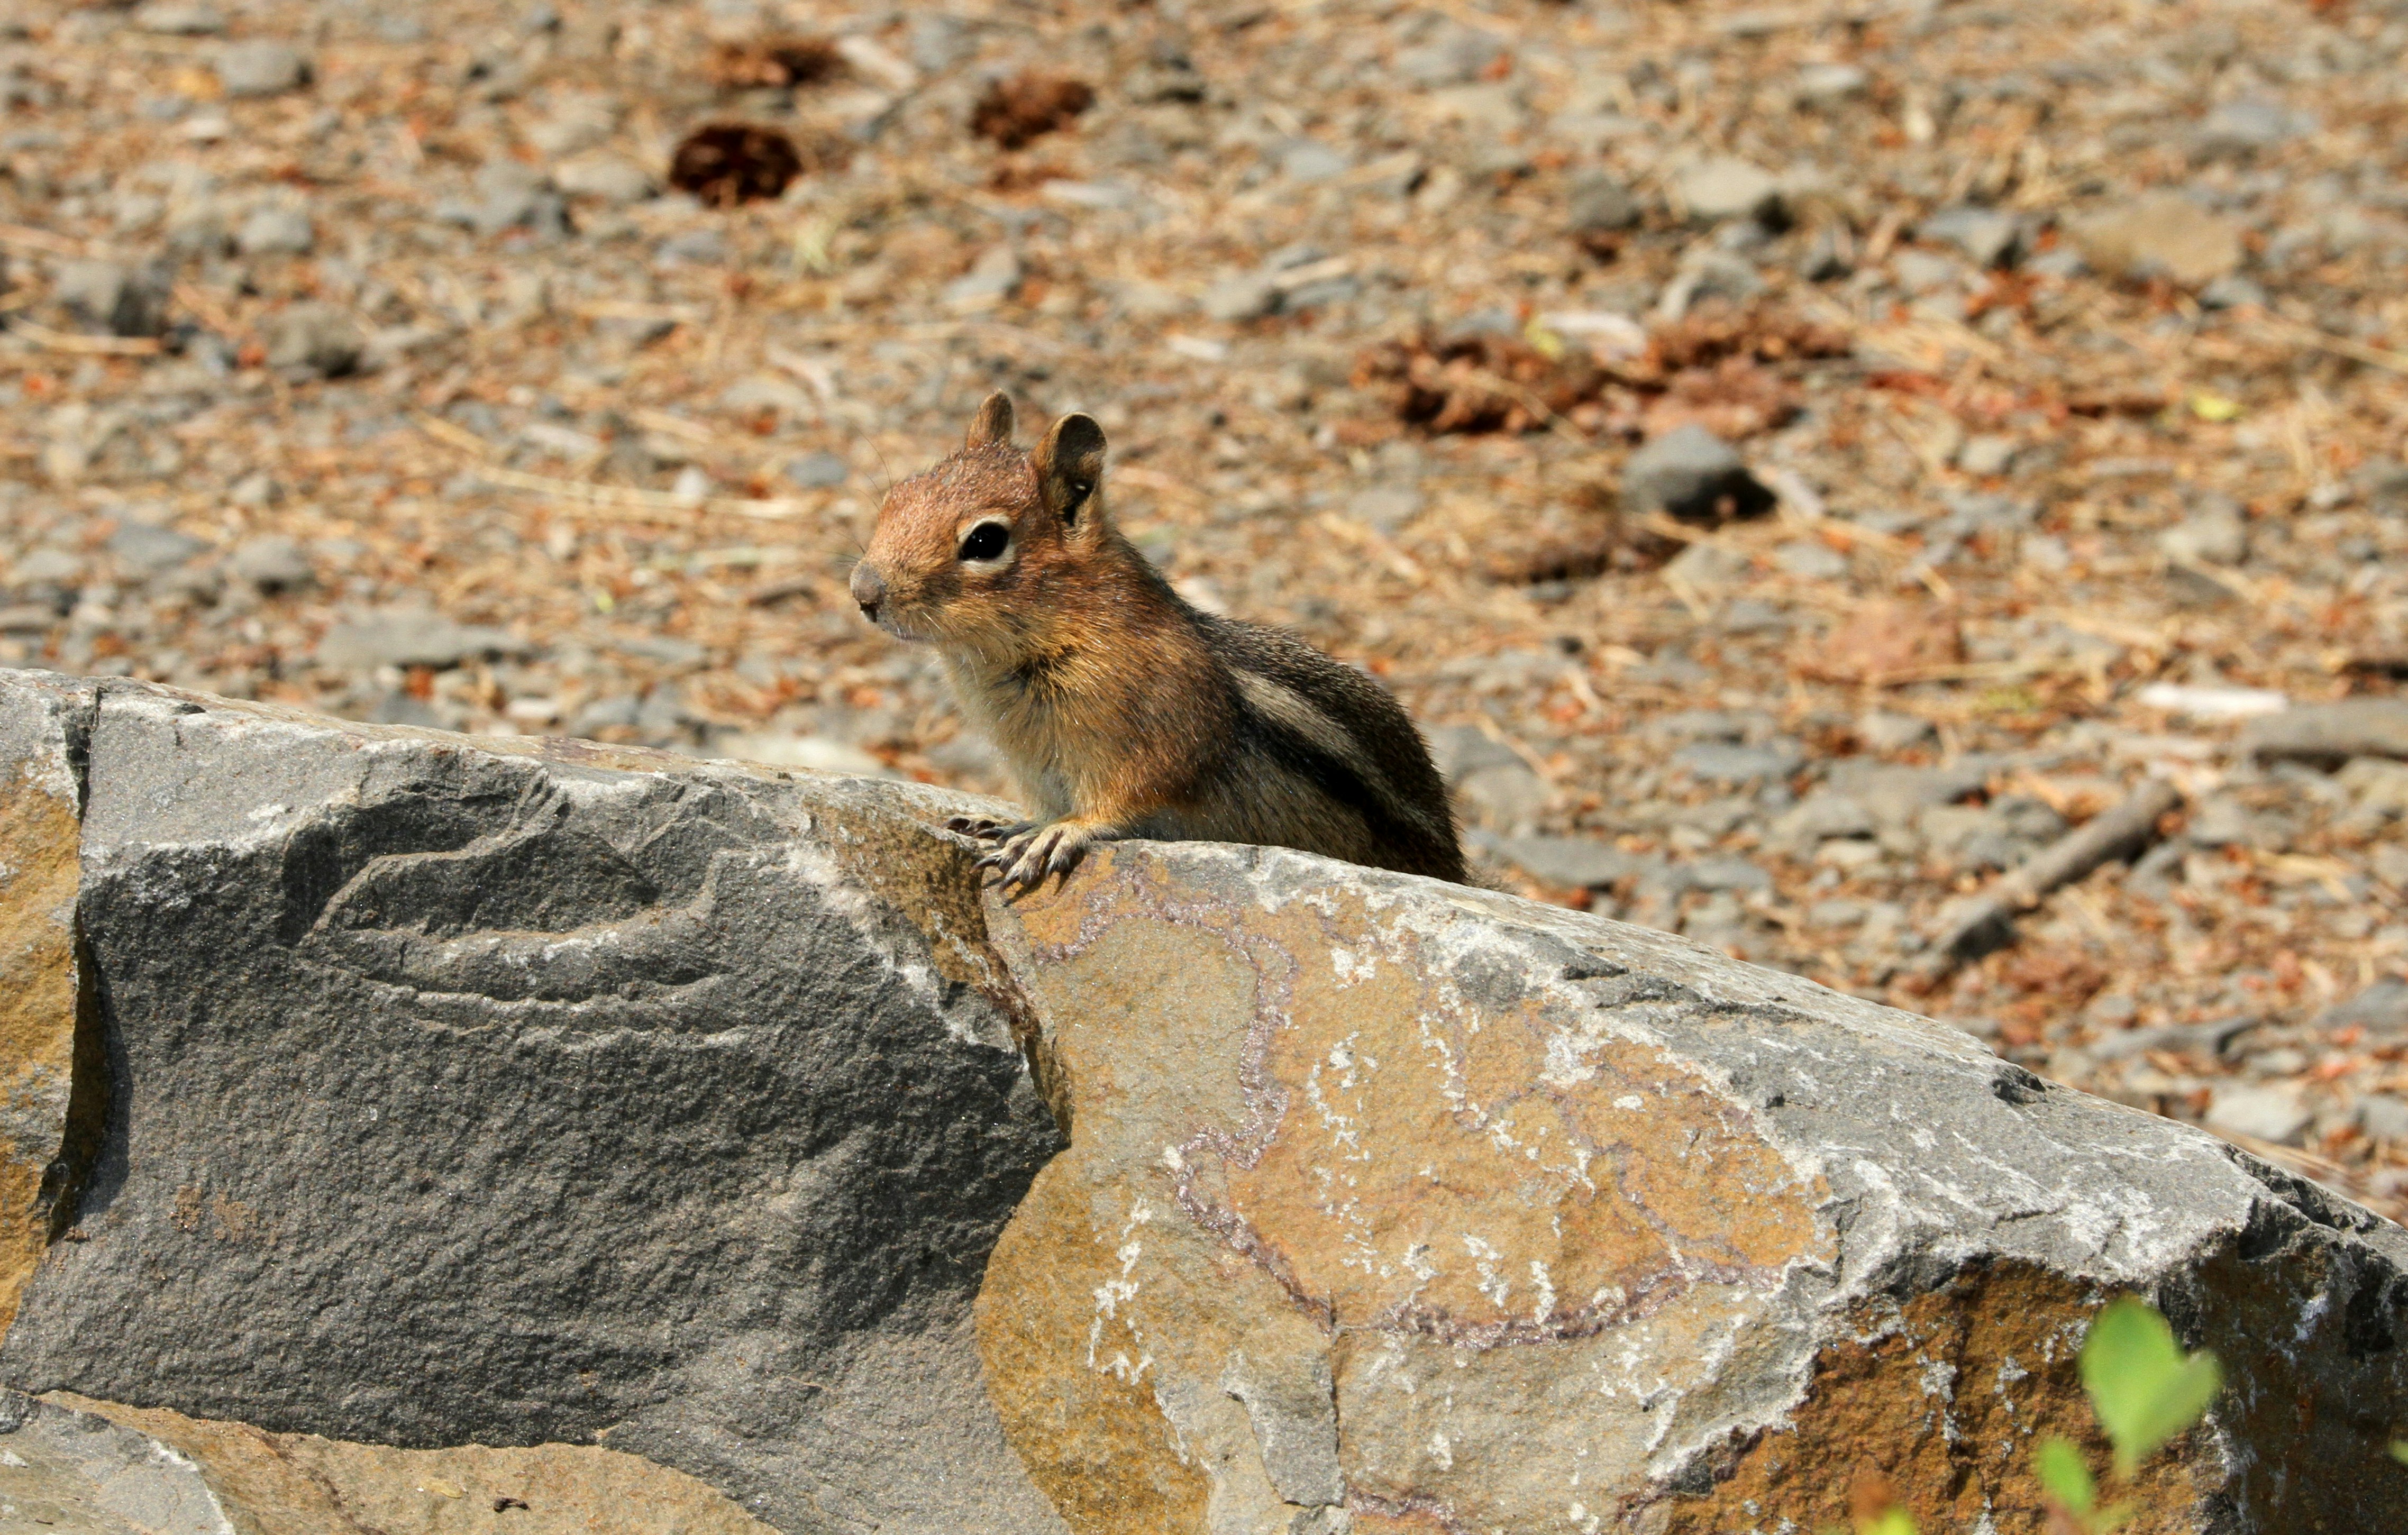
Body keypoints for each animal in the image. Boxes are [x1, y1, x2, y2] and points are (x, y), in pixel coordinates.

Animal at [848, 392, 1466, 891]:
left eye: (984, 541)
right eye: (899, 495)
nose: (863, 592)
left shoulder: (1153, 735)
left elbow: (1129, 797)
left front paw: (1060, 833)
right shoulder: (1033, 767)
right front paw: (1009, 822)